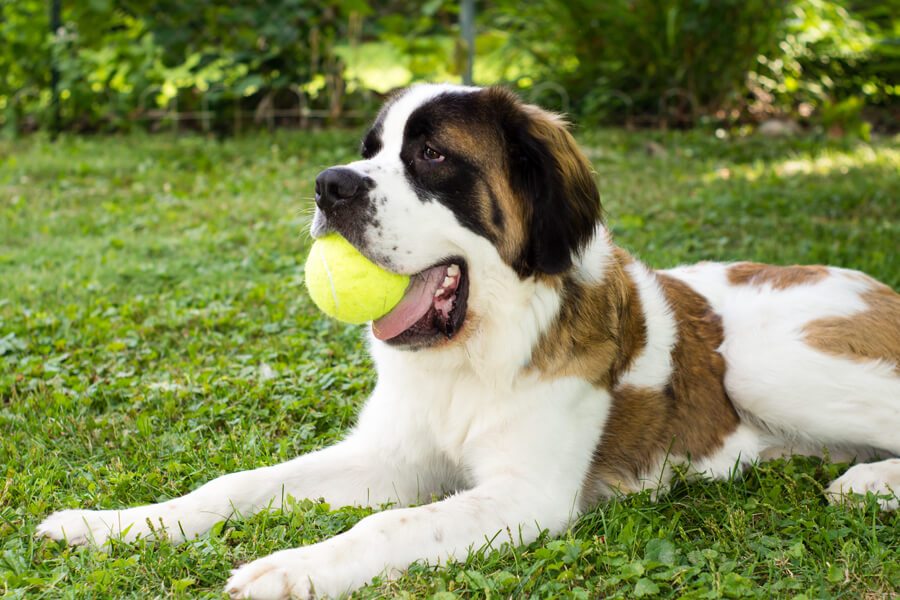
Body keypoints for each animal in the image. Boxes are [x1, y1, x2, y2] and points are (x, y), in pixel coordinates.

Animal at [38, 84, 900, 600]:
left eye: (432, 155)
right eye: (370, 149)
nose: (329, 185)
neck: (474, 354)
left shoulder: (525, 495)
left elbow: (390, 527)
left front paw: (289, 569)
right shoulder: (389, 457)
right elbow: (235, 485)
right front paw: (109, 525)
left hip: (761, 364)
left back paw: (866, 484)